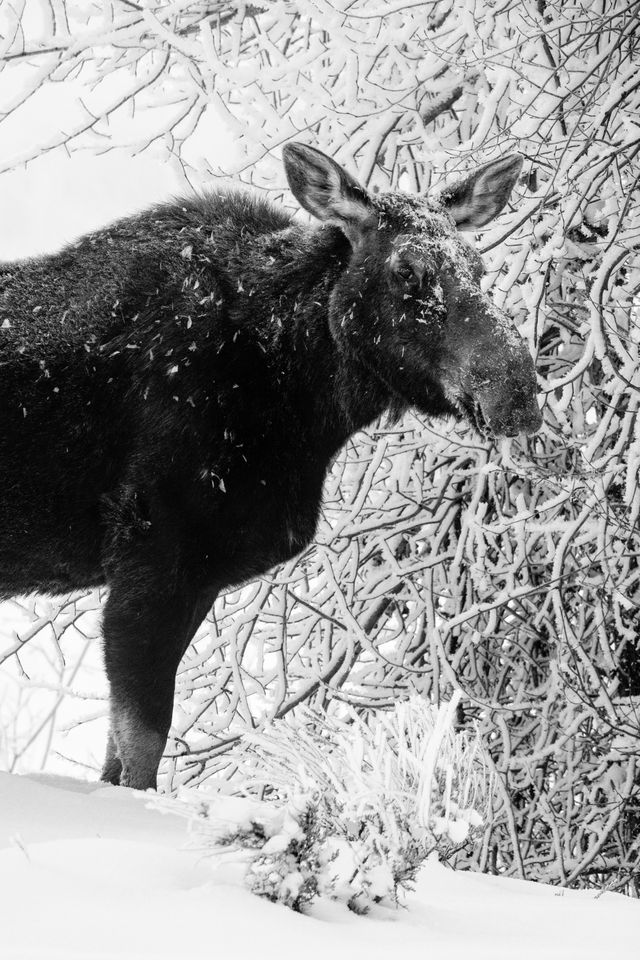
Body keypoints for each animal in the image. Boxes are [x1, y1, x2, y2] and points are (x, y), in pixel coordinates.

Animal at [0, 142, 544, 788]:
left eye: (479, 269)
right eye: (406, 272)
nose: (518, 394)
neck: (296, 398)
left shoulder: (199, 573)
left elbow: (119, 759)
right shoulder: (150, 553)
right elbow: (142, 750)